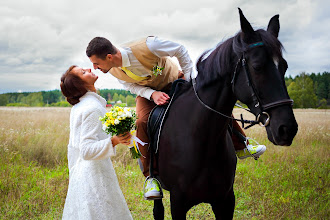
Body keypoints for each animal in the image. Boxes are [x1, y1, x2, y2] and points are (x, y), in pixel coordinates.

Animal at [152, 8, 300, 220]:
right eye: (257, 66)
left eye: (285, 66)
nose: (287, 129)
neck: (204, 139)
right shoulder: (178, 203)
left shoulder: (225, 201)